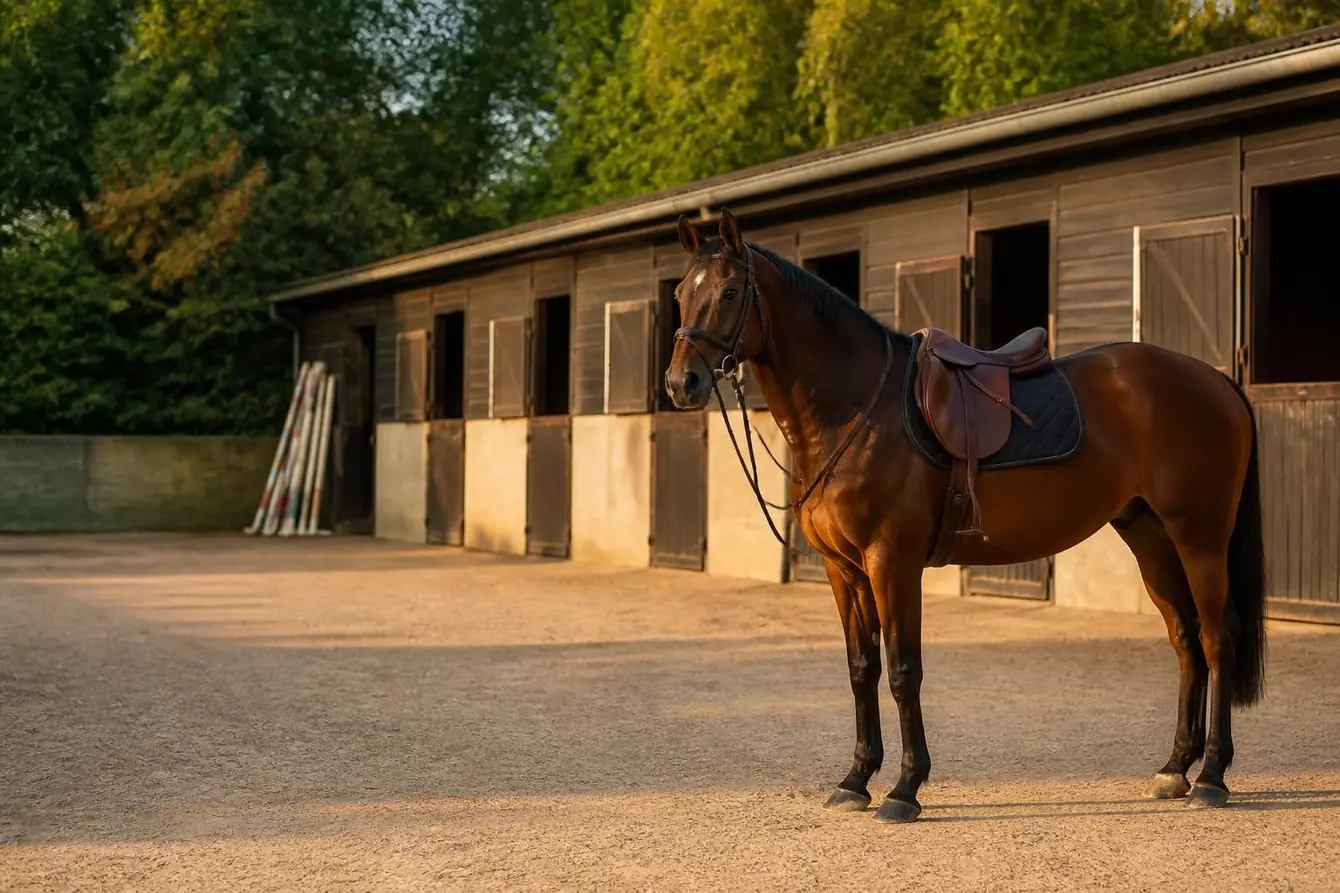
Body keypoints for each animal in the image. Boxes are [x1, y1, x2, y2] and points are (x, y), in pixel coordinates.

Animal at [664, 208, 1266, 824]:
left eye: (730, 291)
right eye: (682, 294)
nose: (681, 383)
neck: (856, 408)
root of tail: (1215, 379)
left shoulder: (892, 563)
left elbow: (903, 671)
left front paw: (905, 789)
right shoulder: (844, 570)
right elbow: (862, 669)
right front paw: (856, 779)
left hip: (1200, 537)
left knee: (1217, 638)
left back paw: (1213, 776)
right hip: (1149, 536)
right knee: (1186, 639)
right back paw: (1176, 769)